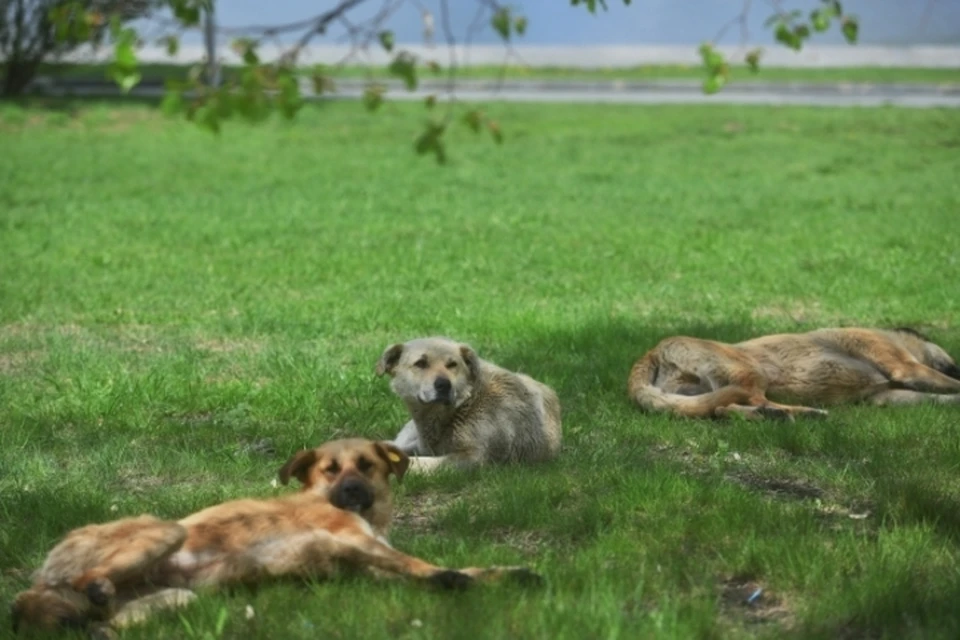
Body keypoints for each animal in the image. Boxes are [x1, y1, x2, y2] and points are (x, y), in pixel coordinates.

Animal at [11, 438, 544, 636]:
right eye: (331, 469)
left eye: (367, 465)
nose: (352, 491)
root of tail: (41, 580)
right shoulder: (357, 544)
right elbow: (425, 566)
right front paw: (455, 577)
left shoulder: (364, 564)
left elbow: (440, 572)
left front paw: (505, 575)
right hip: (167, 530)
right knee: (72, 585)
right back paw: (90, 588)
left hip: (177, 598)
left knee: (95, 619)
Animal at [376, 338, 564, 472]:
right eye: (420, 363)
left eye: (452, 365)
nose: (444, 385)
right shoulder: (423, 446)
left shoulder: (473, 457)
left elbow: (417, 462)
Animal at [632, 324, 960, 420]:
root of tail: (653, 352)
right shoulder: (905, 367)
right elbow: (951, 383)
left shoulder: (886, 396)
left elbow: (940, 397)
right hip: (750, 372)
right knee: (749, 401)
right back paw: (803, 413)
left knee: (723, 409)